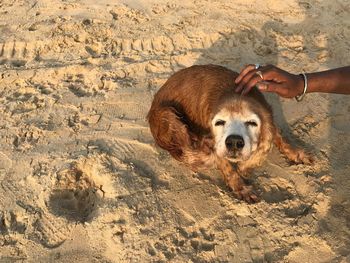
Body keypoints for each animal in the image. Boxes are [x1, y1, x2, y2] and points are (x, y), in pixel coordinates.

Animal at [148, 65, 312, 203]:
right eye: (219, 122)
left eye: (252, 123)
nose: (234, 142)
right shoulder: (216, 145)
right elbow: (228, 167)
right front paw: (241, 188)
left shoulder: (269, 119)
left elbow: (277, 139)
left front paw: (297, 154)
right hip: (168, 115)